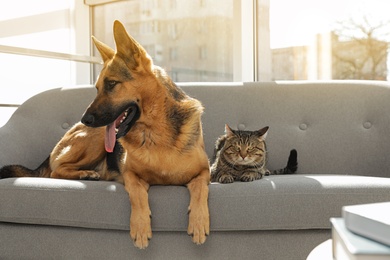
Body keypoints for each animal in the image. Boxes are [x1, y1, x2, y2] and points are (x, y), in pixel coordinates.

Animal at [0, 19, 210, 248]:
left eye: (111, 84)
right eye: (97, 88)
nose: (85, 119)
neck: (154, 132)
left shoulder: (204, 171)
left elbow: (200, 189)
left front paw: (199, 221)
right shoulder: (130, 174)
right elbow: (138, 195)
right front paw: (140, 226)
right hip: (96, 140)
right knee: (57, 171)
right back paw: (86, 173)